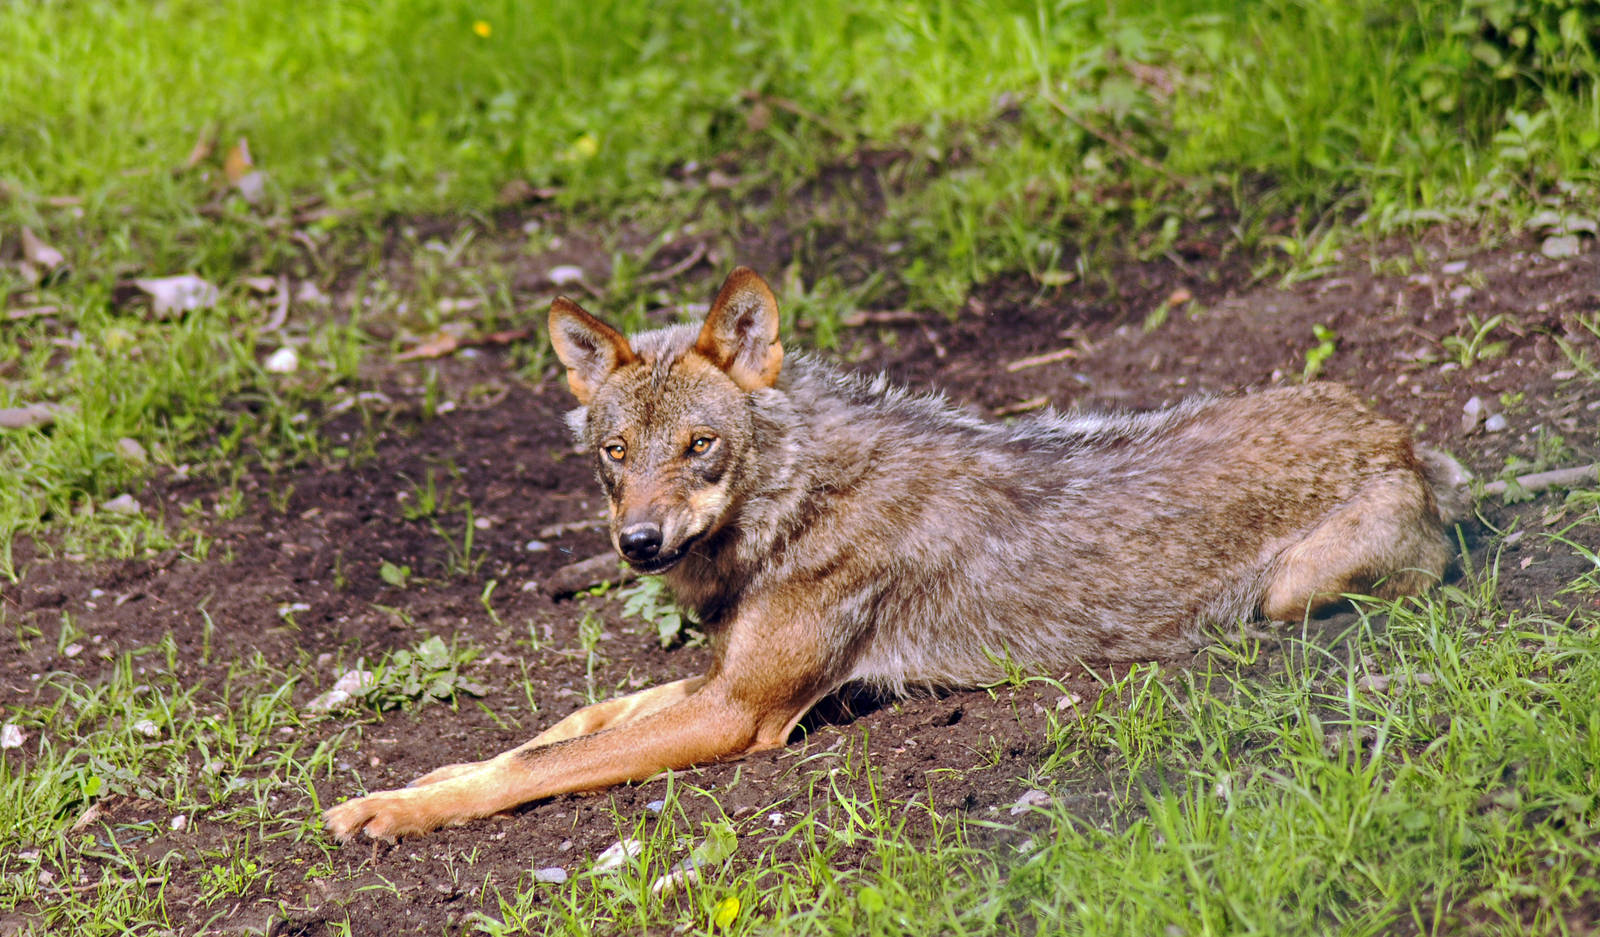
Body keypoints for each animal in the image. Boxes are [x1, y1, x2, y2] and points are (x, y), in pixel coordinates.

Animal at [324, 266, 1464, 842]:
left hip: (1290, 590)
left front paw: (396, 811)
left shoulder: (739, 712)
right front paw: (419, 779)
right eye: (615, 453)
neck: (794, 499)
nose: (638, 542)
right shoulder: (720, 676)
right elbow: (558, 729)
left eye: (698, 447)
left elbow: (545, 764)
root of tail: (1400, 434)